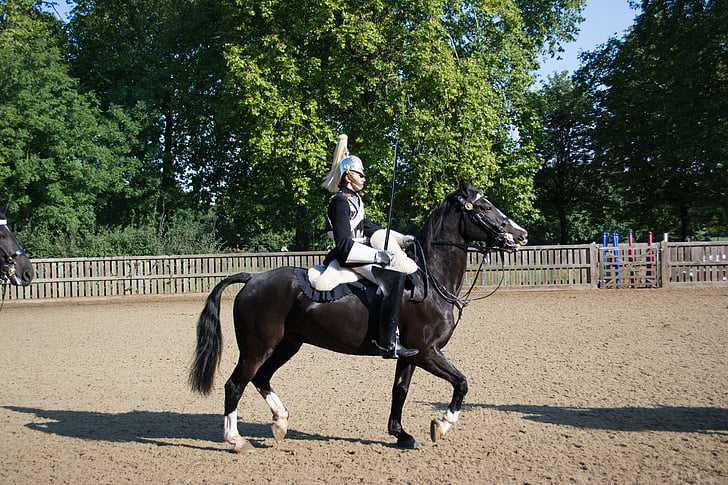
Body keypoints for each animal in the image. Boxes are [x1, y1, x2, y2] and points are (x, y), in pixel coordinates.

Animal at [191, 182, 528, 450]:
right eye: (483, 206)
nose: (521, 235)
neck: (429, 280)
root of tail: (253, 279)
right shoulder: (428, 352)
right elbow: (461, 383)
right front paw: (442, 425)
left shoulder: (410, 354)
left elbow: (400, 391)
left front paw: (401, 434)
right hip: (256, 348)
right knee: (235, 385)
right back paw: (236, 440)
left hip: (288, 345)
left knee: (261, 378)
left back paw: (281, 421)